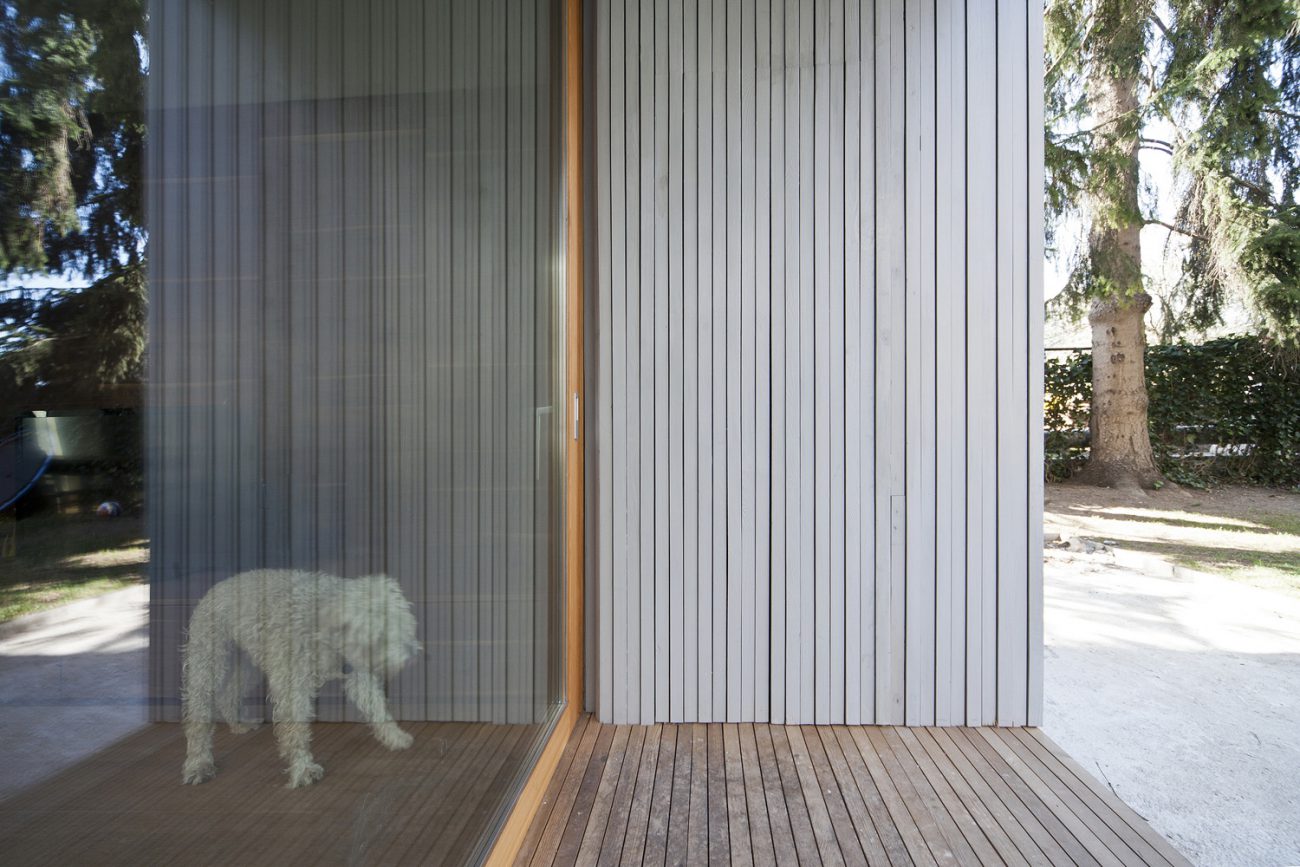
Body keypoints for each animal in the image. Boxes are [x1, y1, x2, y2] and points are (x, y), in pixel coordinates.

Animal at [181, 569, 419, 788]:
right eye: (380, 631)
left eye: (402, 622)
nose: (413, 653)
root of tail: (217, 587)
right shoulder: (292, 687)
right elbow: (296, 731)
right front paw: (303, 768)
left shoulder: (359, 674)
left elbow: (377, 707)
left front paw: (395, 736)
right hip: (208, 663)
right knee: (198, 717)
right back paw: (198, 764)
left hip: (247, 666)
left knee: (228, 695)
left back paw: (238, 724)